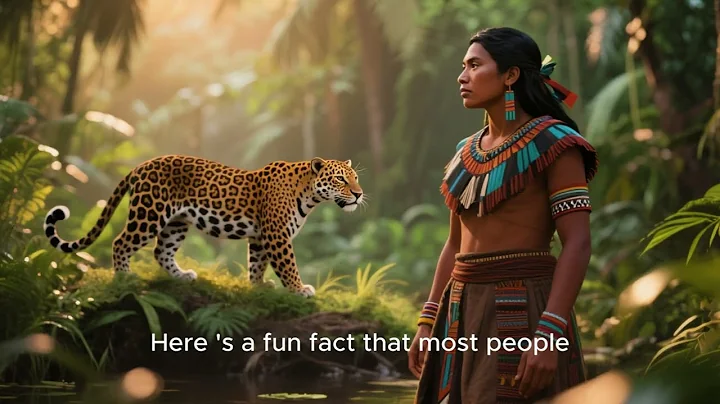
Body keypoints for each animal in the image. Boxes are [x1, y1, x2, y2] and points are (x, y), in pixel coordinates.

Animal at [42, 155, 364, 297]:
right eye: (340, 179)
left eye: (356, 177)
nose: (359, 194)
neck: (309, 193)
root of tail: (141, 165)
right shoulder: (277, 235)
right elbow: (288, 265)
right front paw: (299, 289)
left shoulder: (261, 237)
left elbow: (256, 263)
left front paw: (258, 286)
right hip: (149, 213)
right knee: (120, 242)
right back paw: (125, 277)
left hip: (176, 222)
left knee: (161, 251)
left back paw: (182, 276)